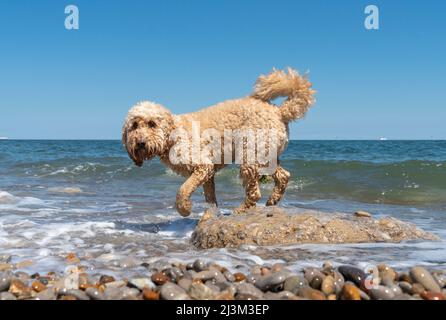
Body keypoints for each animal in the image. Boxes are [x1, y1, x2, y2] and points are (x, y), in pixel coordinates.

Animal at [123, 68, 316, 216]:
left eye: (152, 124)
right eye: (134, 126)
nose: (140, 142)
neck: (172, 134)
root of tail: (280, 111)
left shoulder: (202, 166)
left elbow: (182, 190)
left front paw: (185, 209)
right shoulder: (207, 174)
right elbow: (210, 198)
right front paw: (210, 214)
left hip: (250, 156)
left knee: (254, 193)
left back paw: (241, 211)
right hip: (265, 156)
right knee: (284, 176)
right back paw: (272, 201)